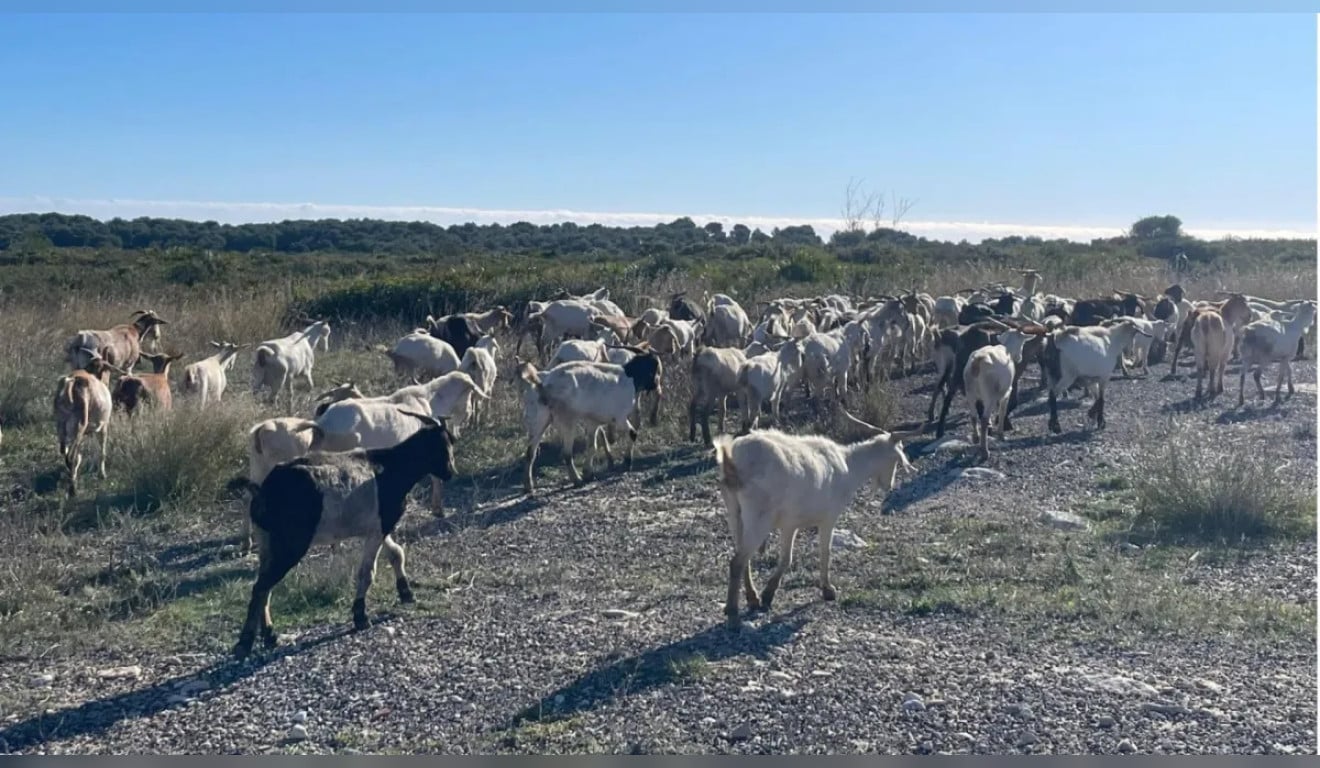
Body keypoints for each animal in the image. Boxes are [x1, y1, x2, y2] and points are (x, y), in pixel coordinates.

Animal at [228, 411, 456, 660]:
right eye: (441, 445)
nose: (451, 473)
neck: (390, 467)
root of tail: (264, 490)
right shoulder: (378, 528)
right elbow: (368, 572)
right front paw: (360, 616)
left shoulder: (378, 526)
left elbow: (396, 553)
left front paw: (406, 593)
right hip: (291, 544)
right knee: (262, 586)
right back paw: (245, 643)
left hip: (267, 540)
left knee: (264, 584)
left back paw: (270, 635)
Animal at [712, 411, 920, 629]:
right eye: (895, 459)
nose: (889, 486)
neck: (849, 465)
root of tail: (734, 461)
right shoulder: (828, 518)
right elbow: (825, 551)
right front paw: (828, 590)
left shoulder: (790, 524)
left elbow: (786, 558)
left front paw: (768, 595)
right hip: (758, 517)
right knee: (737, 561)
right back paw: (732, 611)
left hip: (735, 514)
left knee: (744, 558)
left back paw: (752, 599)